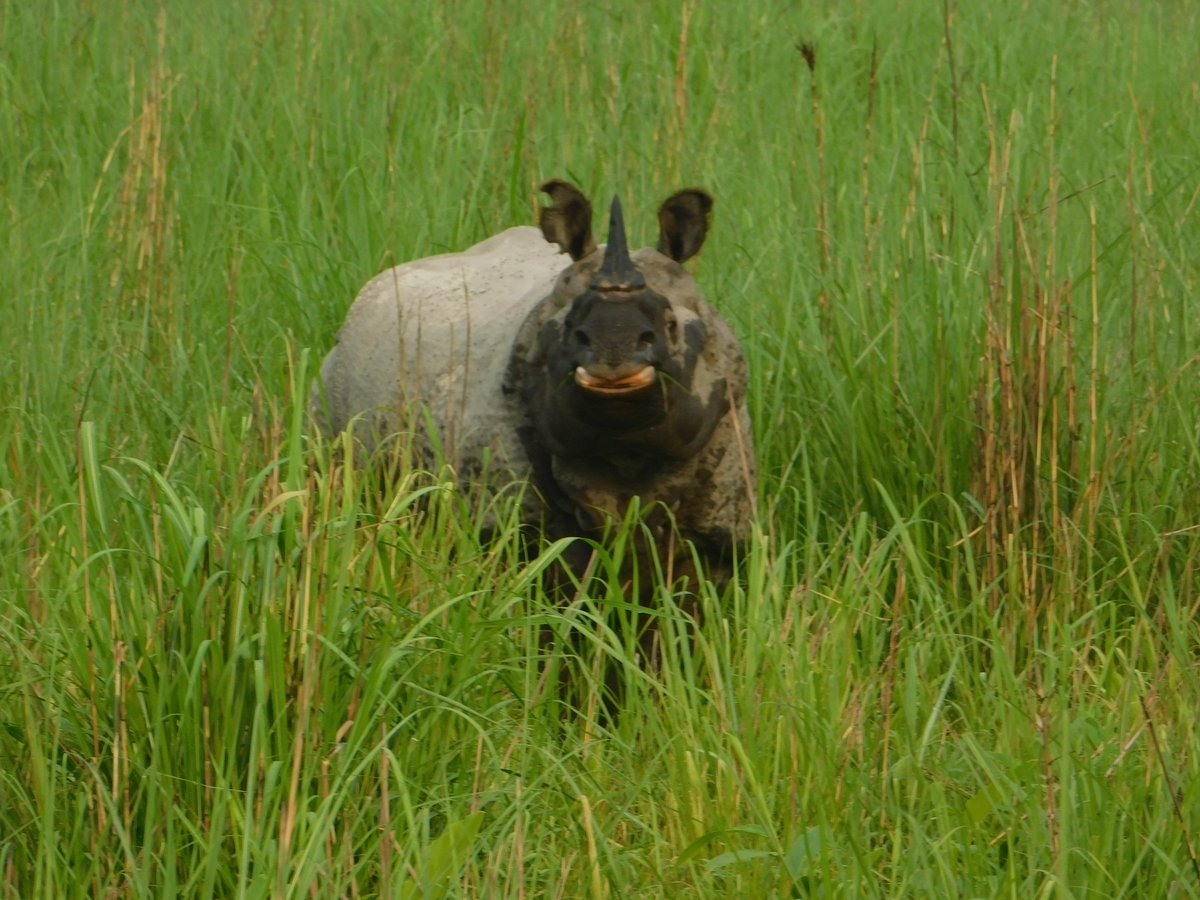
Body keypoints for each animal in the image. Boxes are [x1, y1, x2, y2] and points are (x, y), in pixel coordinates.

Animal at [312, 180, 756, 587]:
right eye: (571, 329)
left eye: (671, 326)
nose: (614, 351)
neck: (625, 456)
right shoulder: (512, 530)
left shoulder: (720, 532)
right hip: (333, 381)